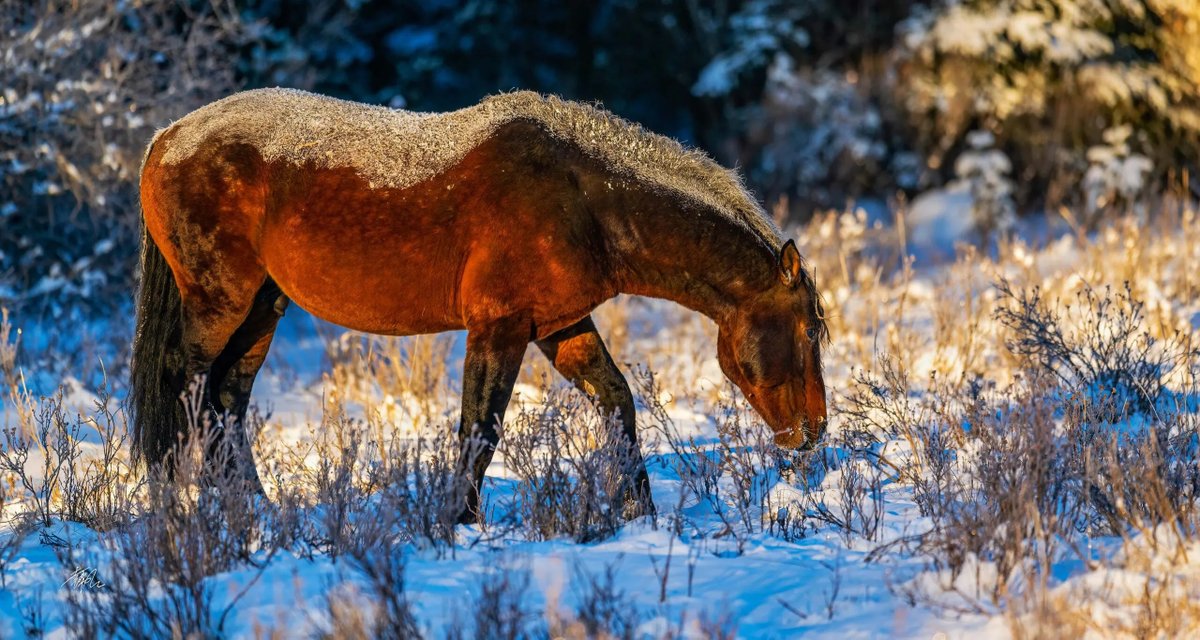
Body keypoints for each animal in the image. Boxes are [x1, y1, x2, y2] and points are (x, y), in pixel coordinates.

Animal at [131, 88, 825, 518]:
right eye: (809, 332)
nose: (813, 432)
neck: (585, 200)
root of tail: (167, 136)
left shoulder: (560, 326)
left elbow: (618, 404)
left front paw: (640, 513)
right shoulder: (499, 327)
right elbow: (478, 430)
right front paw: (456, 524)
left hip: (261, 308)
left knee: (227, 400)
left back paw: (253, 508)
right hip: (219, 300)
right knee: (184, 385)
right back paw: (175, 501)